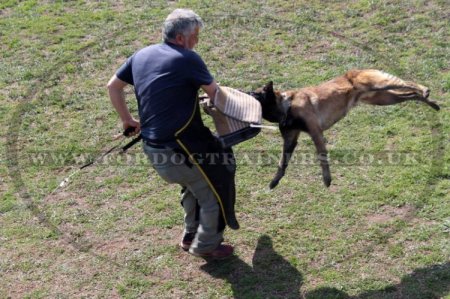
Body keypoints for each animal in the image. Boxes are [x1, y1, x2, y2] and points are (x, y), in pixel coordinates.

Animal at [251, 69, 442, 189]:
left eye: (256, 94)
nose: (246, 94)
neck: (287, 106)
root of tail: (356, 70)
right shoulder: (290, 139)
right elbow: (282, 163)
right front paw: (274, 182)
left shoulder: (316, 133)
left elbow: (322, 156)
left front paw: (327, 179)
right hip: (384, 99)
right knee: (411, 95)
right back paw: (430, 102)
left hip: (382, 86)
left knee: (408, 83)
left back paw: (425, 89)